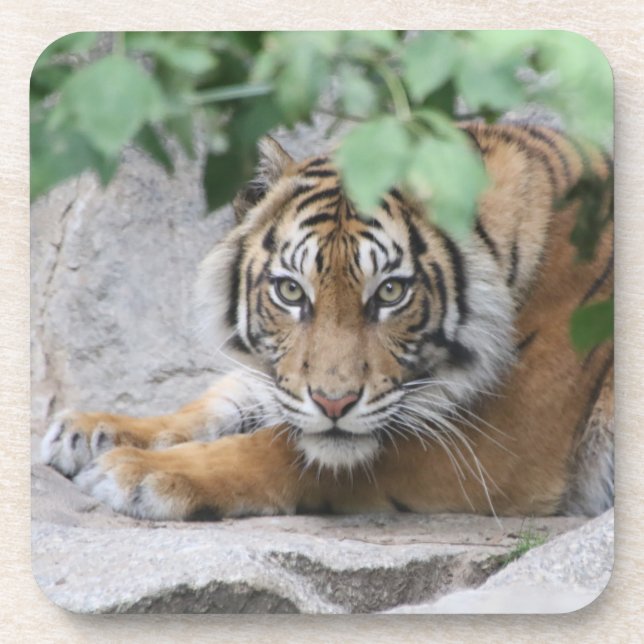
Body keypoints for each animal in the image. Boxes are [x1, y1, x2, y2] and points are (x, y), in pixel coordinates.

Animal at [40, 122, 614, 522]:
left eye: (390, 292)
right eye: (291, 291)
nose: (334, 404)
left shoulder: (496, 445)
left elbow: (280, 451)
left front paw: (137, 472)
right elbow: (222, 400)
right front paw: (93, 429)